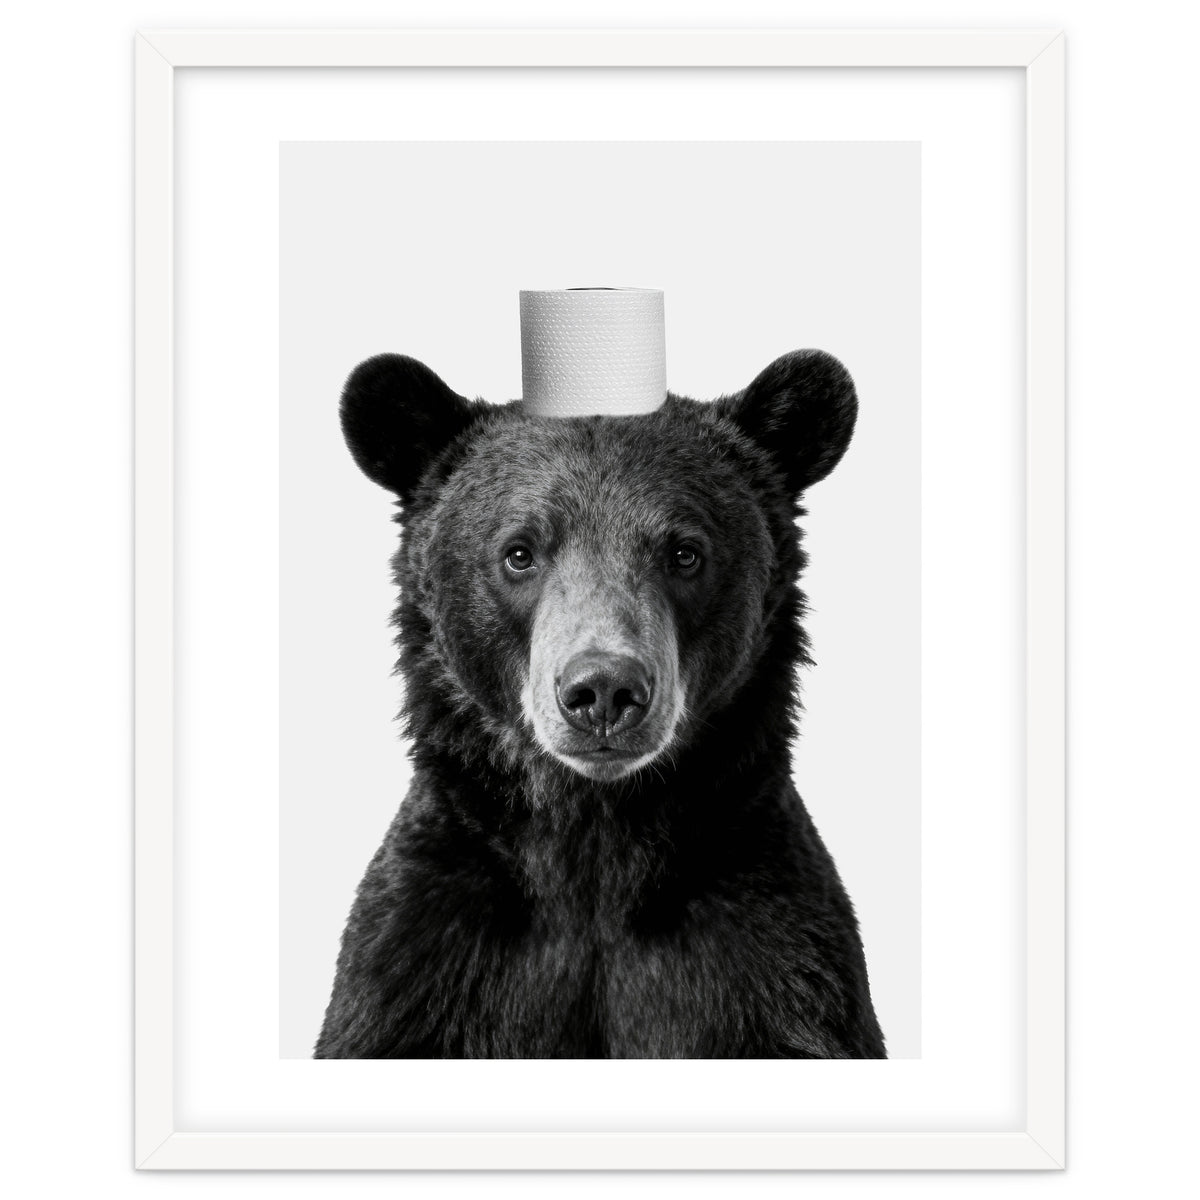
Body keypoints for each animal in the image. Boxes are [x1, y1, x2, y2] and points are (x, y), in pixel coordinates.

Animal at [315, 348, 886, 1059]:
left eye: (684, 553)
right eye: (519, 553)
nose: (604, 691)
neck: (594, 841)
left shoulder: (773, 958)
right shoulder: (424, 959)